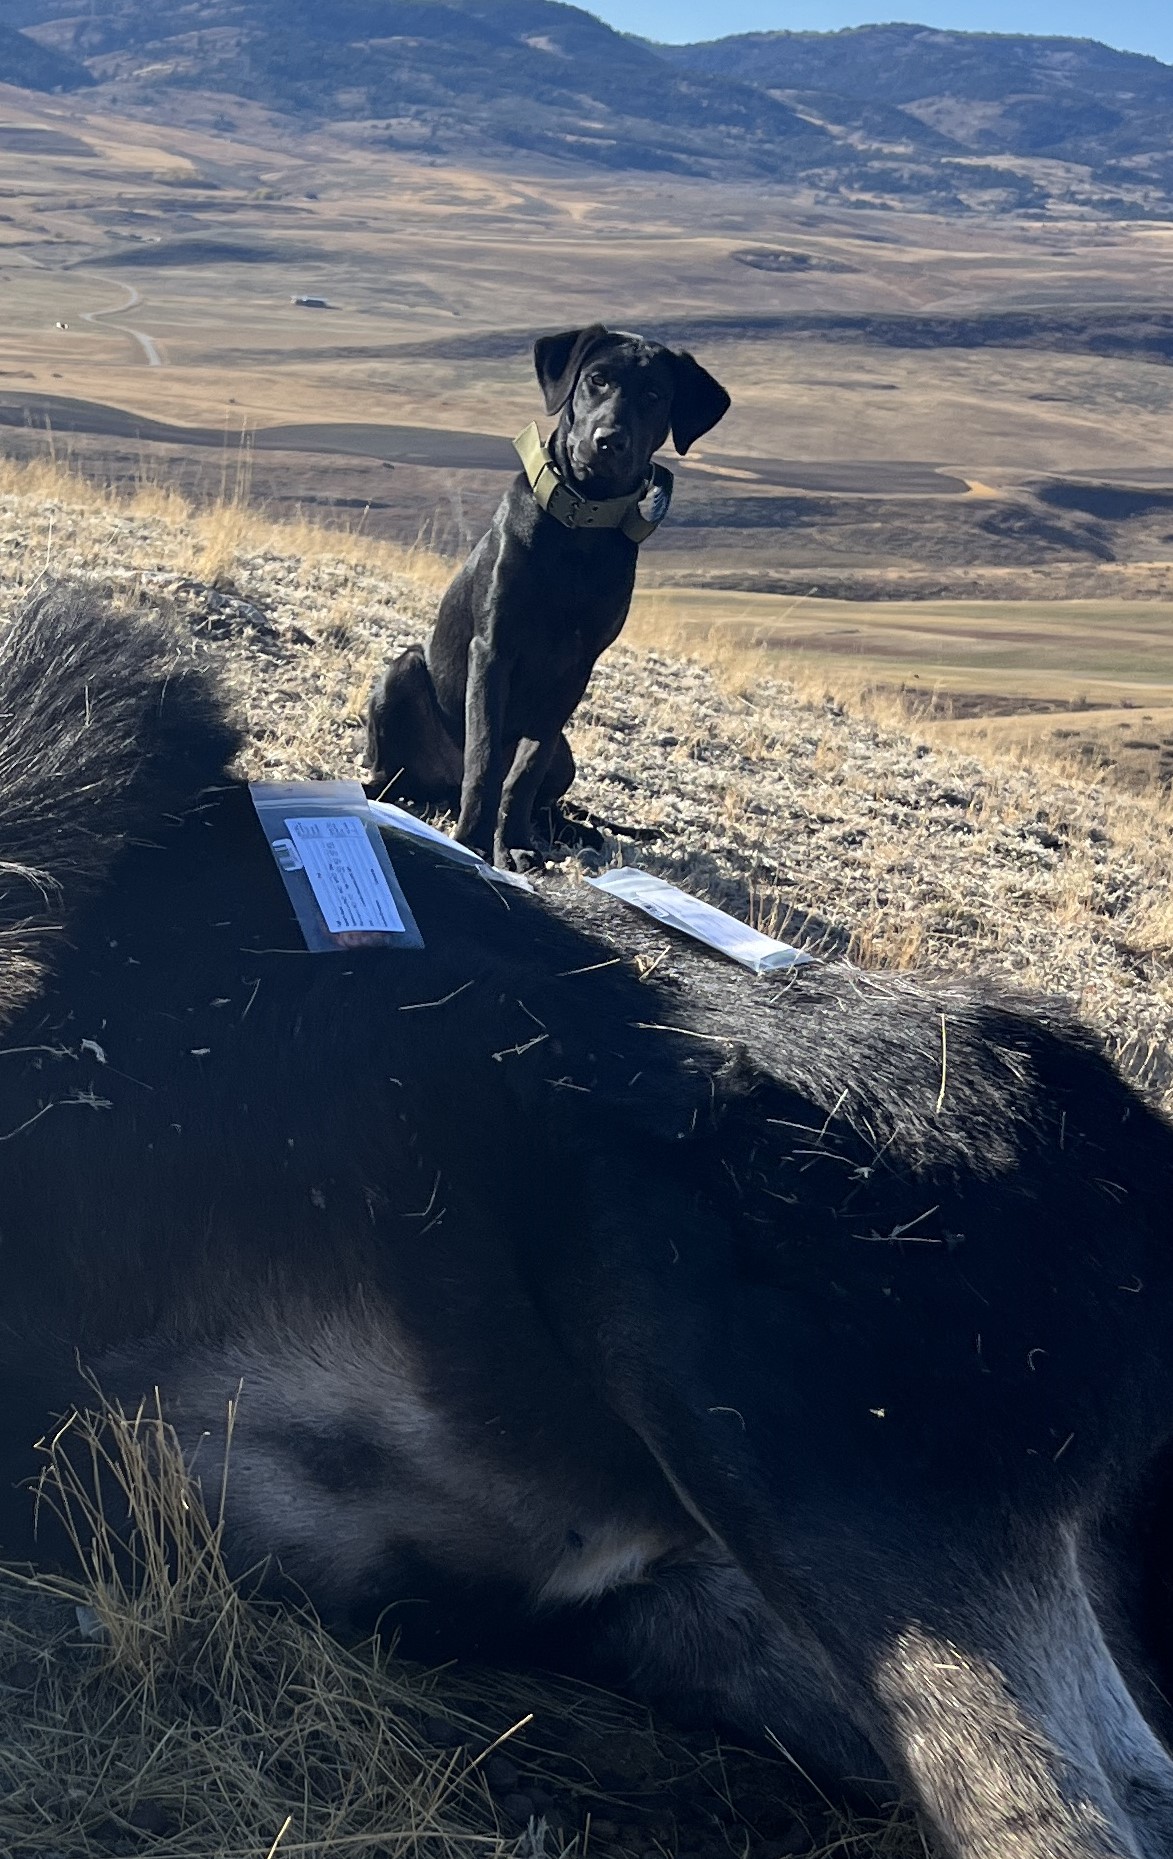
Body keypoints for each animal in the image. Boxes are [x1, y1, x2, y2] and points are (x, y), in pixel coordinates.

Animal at [371, 323, 728, 866]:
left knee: (550, 799)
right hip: (402, 675)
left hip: (567, 751)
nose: (609, 441)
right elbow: (484, 759)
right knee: (402, 772)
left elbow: (525, 769)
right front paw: (472, 842)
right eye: (597, 379)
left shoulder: (575, 670)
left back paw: (569, 833)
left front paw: (516, 844)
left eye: (654, 395)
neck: (581, 526)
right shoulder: (493, 650)